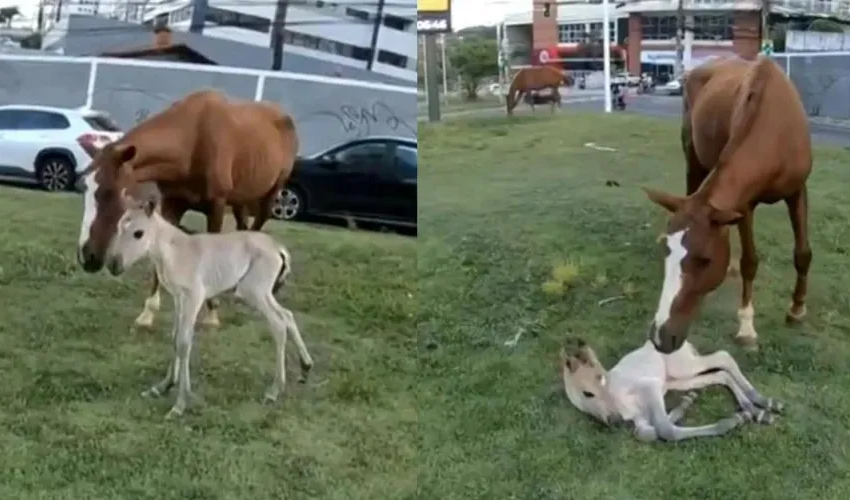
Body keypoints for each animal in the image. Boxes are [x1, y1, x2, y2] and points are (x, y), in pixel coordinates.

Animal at [76, 89, 300, 332]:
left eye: (110, 192)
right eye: (83, 186)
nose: (87, 256)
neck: (192, 141)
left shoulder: (217, 206)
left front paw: (212, 312)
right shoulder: (172, 204)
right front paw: (147, 314)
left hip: (270, 196)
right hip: (241, 199)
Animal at [103, 184, 312, 418]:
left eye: (138, 233)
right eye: (119, 227)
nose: (113, 265)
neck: (173, 251)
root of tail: (278, 248)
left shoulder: (194, 297)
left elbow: (184, 342)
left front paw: (180, 404)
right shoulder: (178, 298)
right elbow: (175, 337)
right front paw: (164, 386)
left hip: (253, 291)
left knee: (278, 324)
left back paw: (274, 390)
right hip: (263, 292)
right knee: (287, 315)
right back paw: (305, 368)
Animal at [556, 336, 780, 442]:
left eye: (600, 379)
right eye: (587, 394)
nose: (614, 420)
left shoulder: (649, 386)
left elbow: (665, 428)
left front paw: (732, 421)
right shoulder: (640, 419)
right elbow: (647, 432)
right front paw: (685, 404)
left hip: (682, 368)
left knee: (722, 357)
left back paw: (762, 401)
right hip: (677, 380)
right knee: (719, 375)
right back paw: (752, 408)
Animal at [644, 57, 808, 356]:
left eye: (705, 260)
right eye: (665, 250)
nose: (660, 337)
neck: (775, 130)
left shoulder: (797, 191)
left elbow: (802, 253)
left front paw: (797, 309)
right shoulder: (745, 205)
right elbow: (750, 262)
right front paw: (747, 327)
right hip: (693, 158)